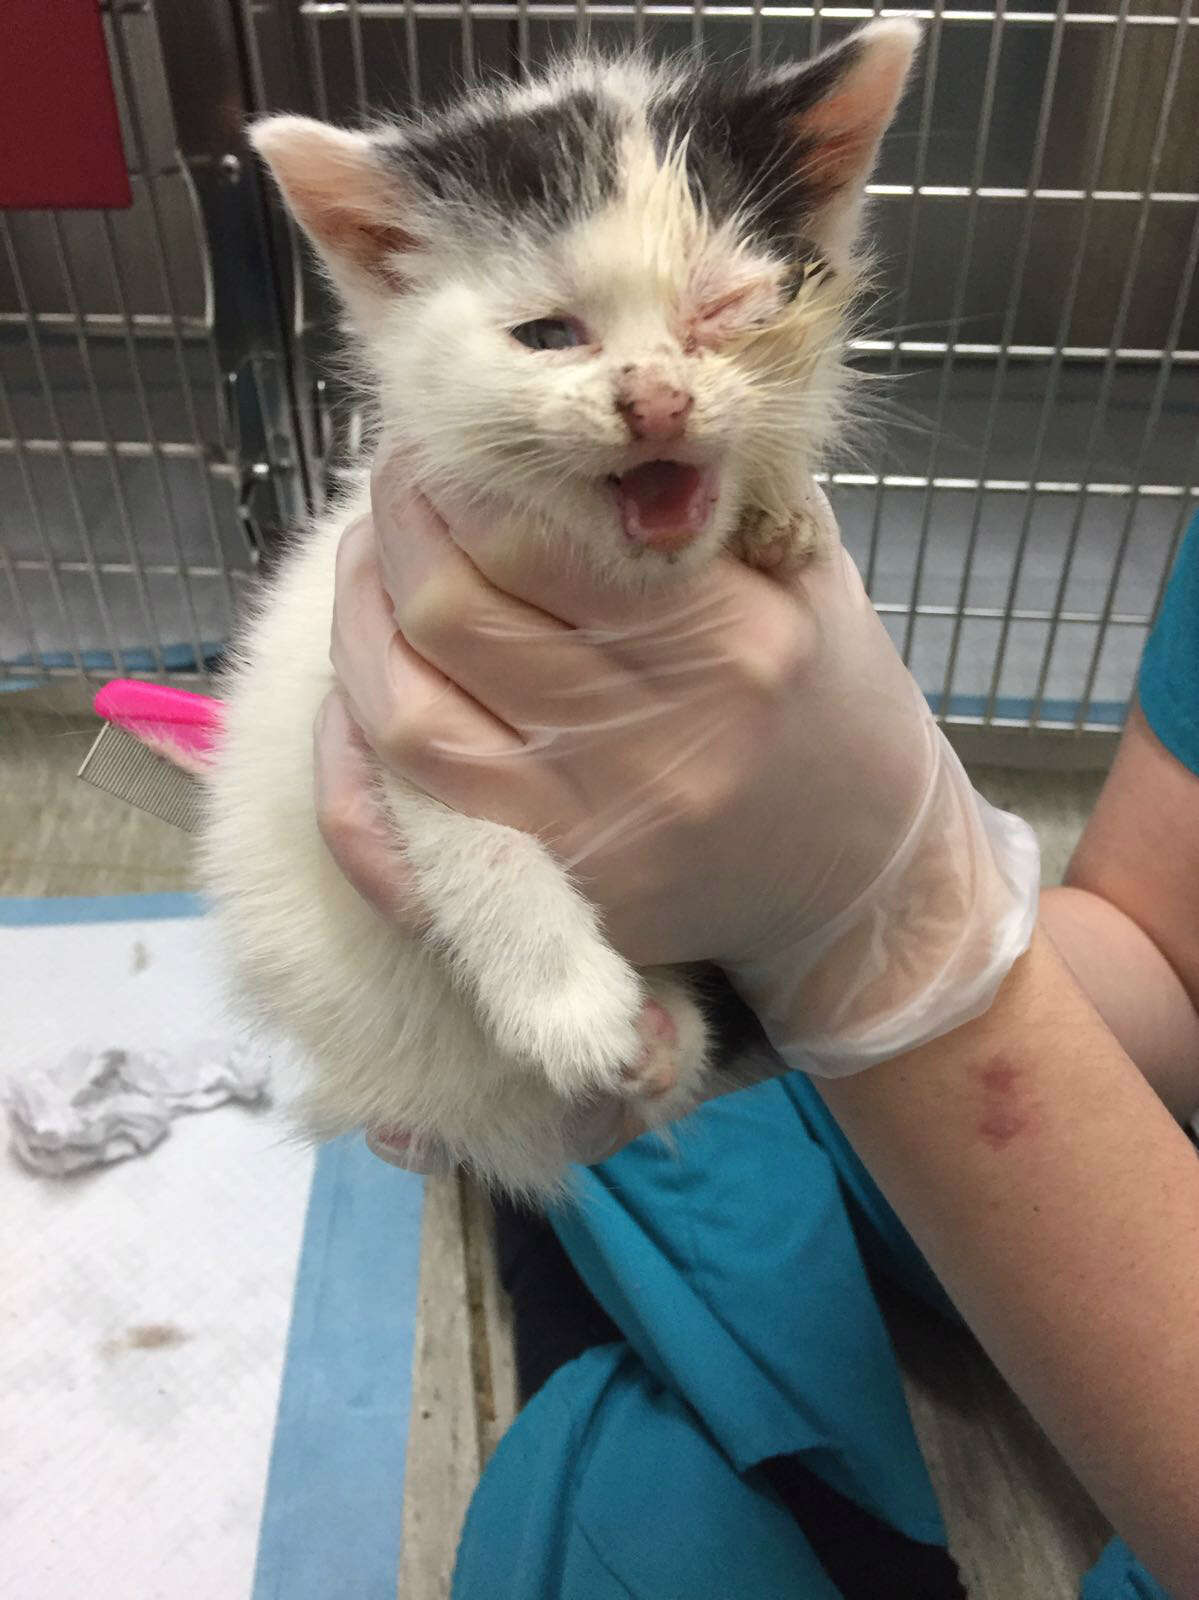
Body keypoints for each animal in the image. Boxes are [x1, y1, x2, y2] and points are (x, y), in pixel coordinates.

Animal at [203, 21, 915, 1203]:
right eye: (544, 335)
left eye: (726, 307)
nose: (656, 403)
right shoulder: (377, 687)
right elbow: (459, 821)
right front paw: (567, 1003)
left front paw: (781, 506)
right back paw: (639, 1031)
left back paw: (669, 1035)